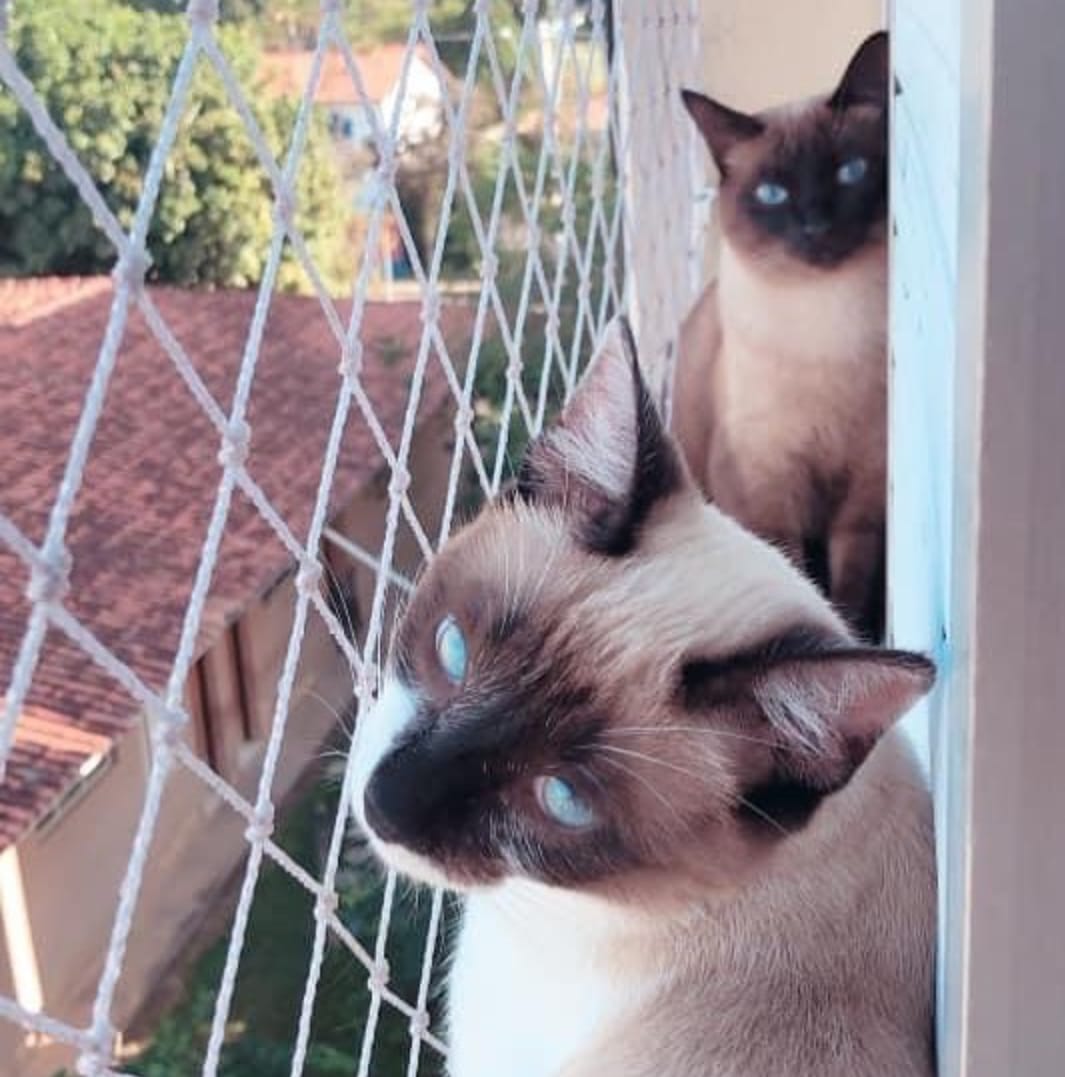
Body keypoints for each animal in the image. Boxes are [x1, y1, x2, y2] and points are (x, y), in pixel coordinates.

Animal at [671, 31, 887, 637]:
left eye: (850, 172)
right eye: (772, 194)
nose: (815, 226)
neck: (829, 330)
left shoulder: (865, 494)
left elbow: (850, 587)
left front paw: (858, 638)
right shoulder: (767, 487)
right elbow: (791, 573)